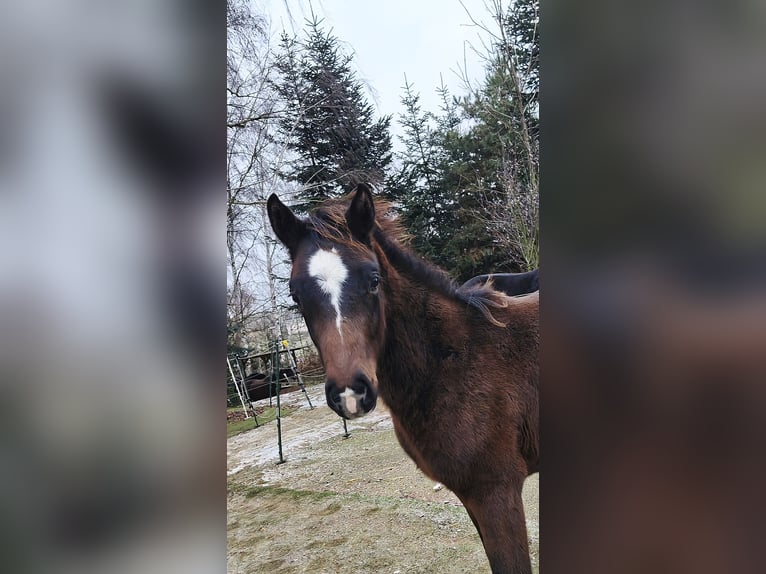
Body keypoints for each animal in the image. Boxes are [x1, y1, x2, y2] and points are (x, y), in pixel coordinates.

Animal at [267, 184, 539, 574]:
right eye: (295, 294)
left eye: (374, 280)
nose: (350, 393)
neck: (455, 359)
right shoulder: (471, 495)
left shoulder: (496, 492)